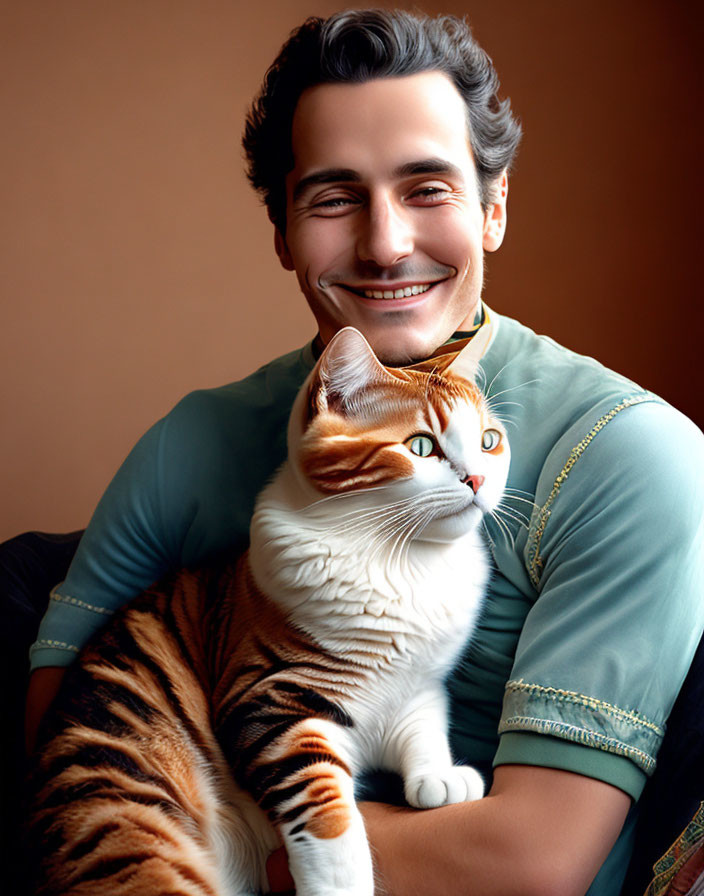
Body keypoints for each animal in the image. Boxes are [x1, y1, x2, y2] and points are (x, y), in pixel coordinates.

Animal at [28, 324, 512, 896]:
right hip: (127, 816)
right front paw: (343, 884)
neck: (401, 557)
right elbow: (328, 815)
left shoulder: (417, 686)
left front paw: (438, 776)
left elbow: (423, 728)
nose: (478, 480)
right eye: (420, 446)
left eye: (488, 441)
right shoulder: (271, 699)